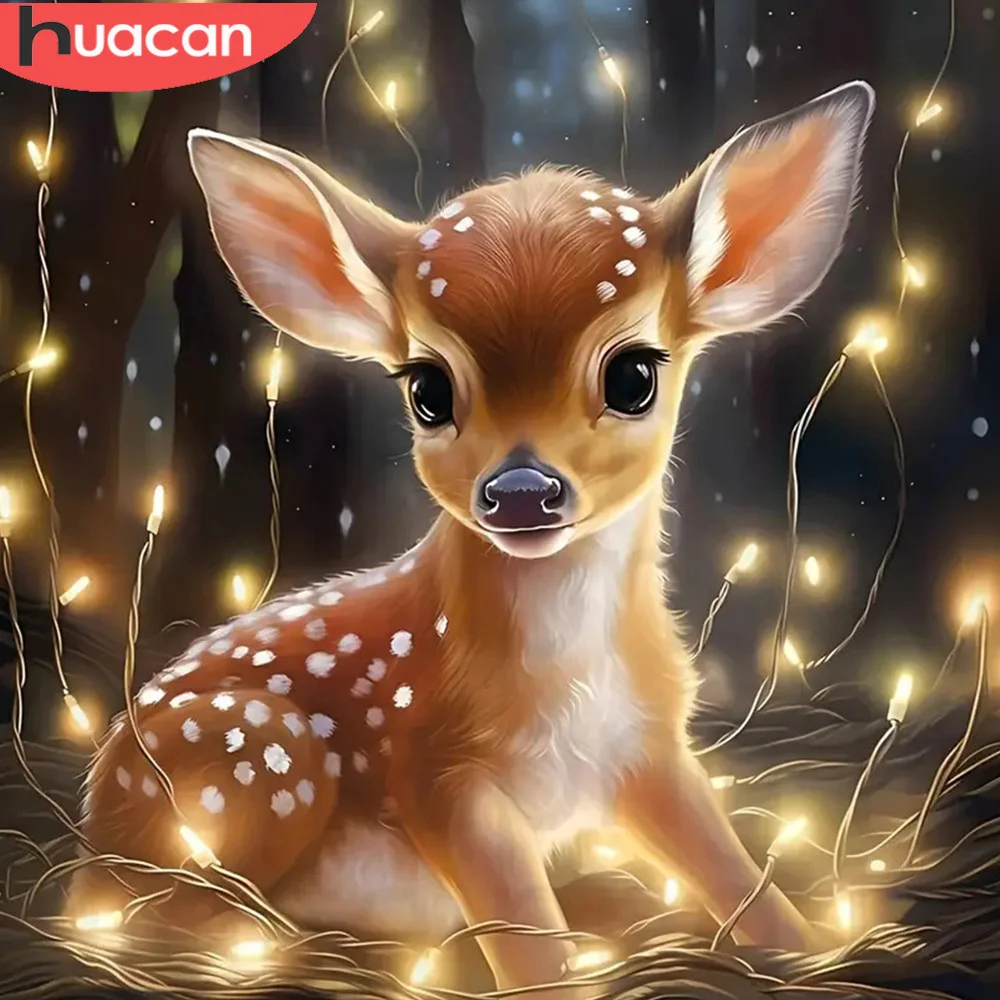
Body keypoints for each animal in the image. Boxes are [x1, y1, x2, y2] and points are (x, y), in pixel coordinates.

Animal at [72, 81, 874, 994]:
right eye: (428, 389)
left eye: (635, 375)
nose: (522, 490)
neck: (564, 671)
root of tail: (90, 831)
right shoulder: (433, 769)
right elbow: (525, 932)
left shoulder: (646, 745)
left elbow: (729, 865)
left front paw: (814, 949)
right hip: (257, 757)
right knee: (148, 914)